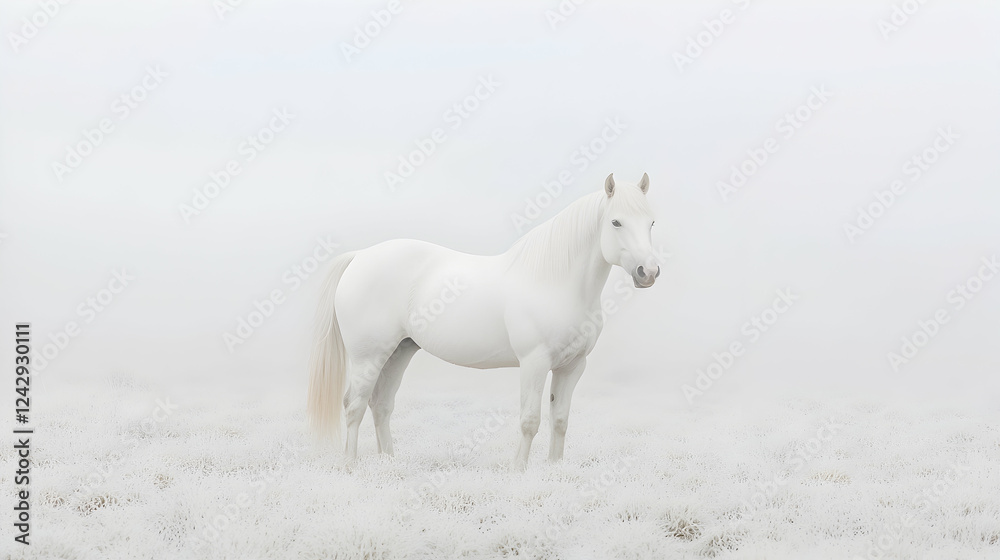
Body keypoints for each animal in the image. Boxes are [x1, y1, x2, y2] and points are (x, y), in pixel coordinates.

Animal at [307, 173, 661, 467]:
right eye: (615, 222)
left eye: (652, 223)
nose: (648, 272)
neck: (554, 282)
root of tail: (360, 256)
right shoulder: (534, 362)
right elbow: (530, 420)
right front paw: (519, 470)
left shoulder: (573, 366)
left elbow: (560, 419)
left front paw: (555, 468)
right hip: (368, 356)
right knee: (353, 405)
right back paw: (350, 465)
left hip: (399, 352)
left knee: (380, 405)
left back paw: (389, 462)